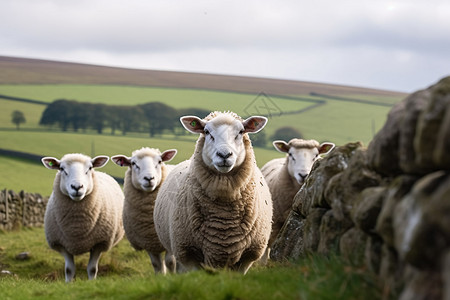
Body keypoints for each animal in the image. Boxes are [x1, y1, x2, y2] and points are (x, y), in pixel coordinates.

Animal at [41, 154, 124, 282]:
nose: (77, 187)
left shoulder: (99, 243)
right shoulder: (62, 244)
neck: (77, 227)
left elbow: (92, 269)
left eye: (89, 168)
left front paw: (92, 282)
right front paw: (68, 283)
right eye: (61, 169)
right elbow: (69, 270)